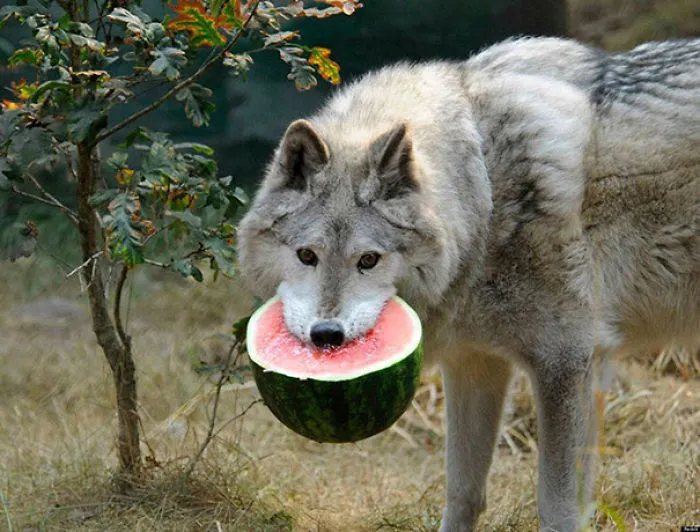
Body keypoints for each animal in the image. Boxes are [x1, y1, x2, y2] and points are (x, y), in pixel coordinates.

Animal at [237, 36, 700, 531]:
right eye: (307, 255)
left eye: (368, 260)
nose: (327, 336)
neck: (484, 193)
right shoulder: (474, 363)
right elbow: (463, 491)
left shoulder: (566, 361)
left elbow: (557, 506)